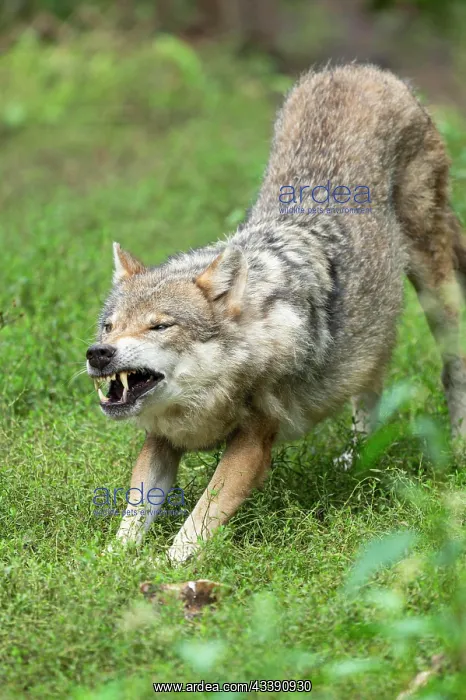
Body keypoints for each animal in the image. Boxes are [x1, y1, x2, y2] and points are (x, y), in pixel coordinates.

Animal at [86, 63, 466, 563]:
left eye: (160, 326)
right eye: (109, 326)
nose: (98, 354)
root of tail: (359, 68)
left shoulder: (253, 443)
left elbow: (197, 523)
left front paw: (164, 569)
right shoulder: (162, 440)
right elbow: (133, 515)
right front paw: (109, 565)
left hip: (436, 290)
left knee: (452, 369)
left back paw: (457, 446)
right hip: (371, 330)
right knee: (372, 386)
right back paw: (355, 459)